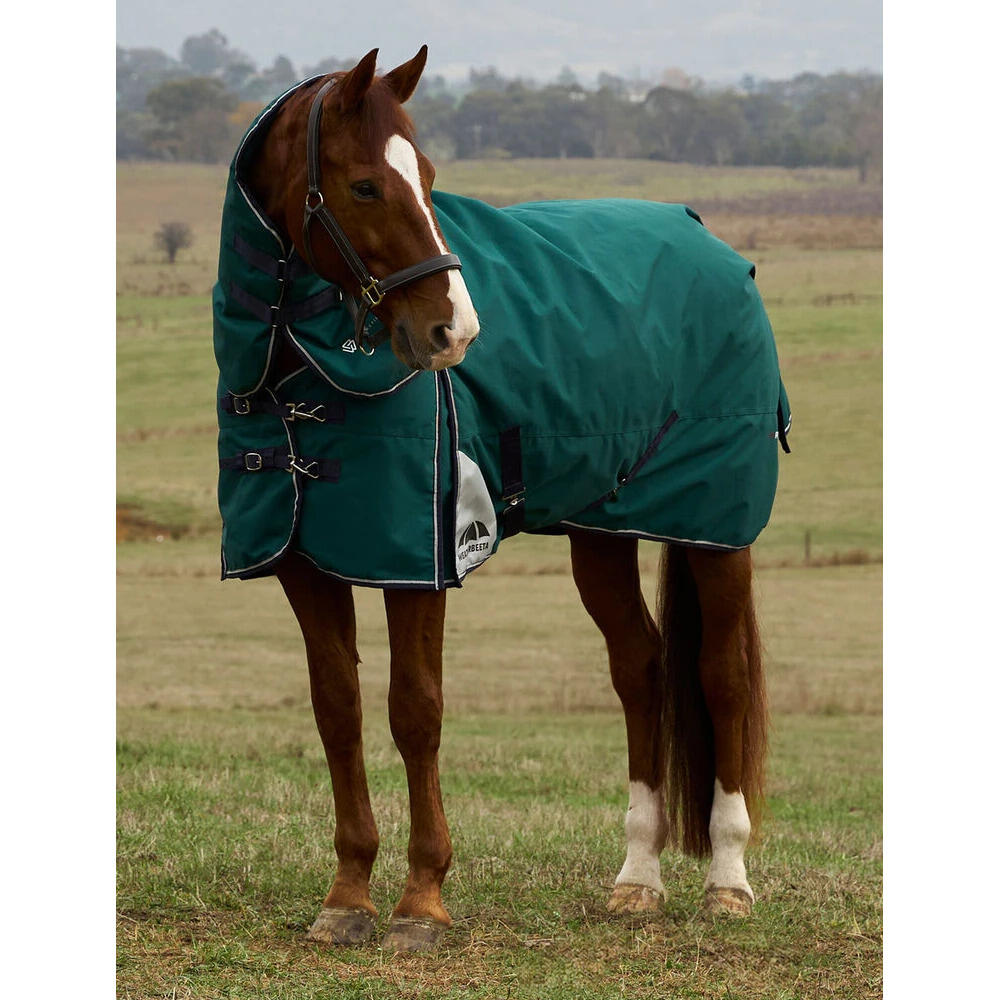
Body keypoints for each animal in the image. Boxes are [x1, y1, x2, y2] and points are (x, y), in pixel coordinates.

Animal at [220, 46, 773, 953]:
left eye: (429, 177)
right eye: (365, 186)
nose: (455, 331)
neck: (300, 376)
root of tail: (706, 239)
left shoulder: (419, 561)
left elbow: (415, 711)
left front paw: (420, 902)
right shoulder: (308, 565)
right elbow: (338, 711)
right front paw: (347, 896)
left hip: (714, 531)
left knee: (719, 674)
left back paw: (727, 879)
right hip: (603, 531)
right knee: (642, 669)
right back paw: (638, 877)